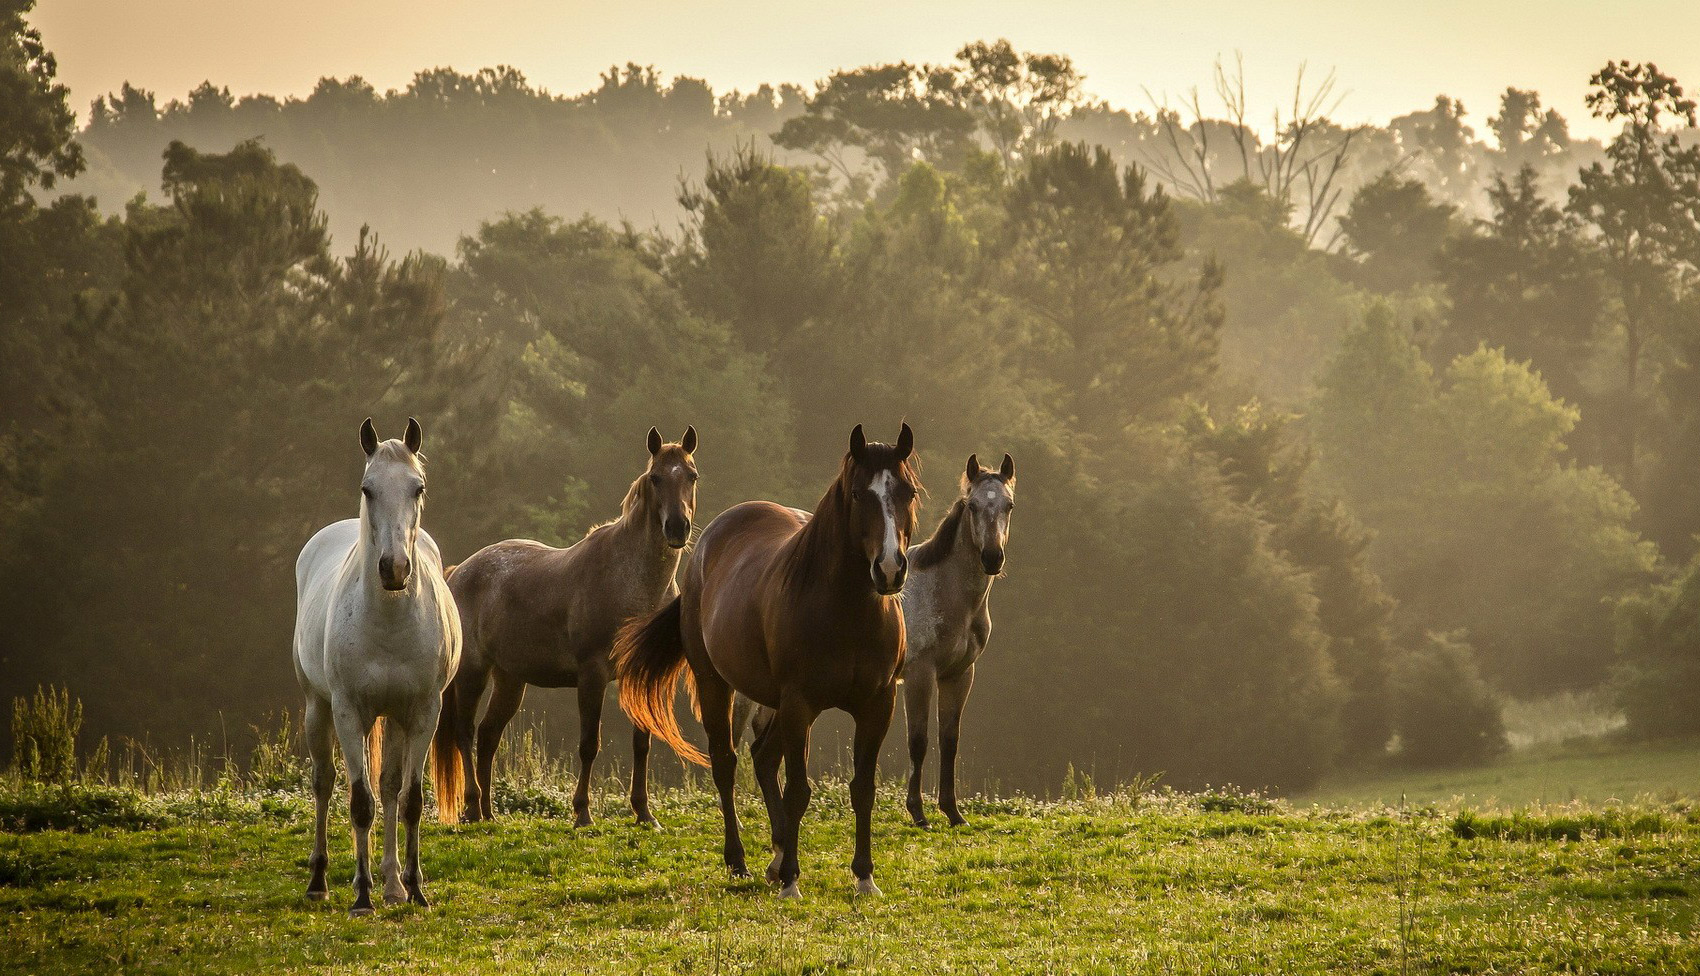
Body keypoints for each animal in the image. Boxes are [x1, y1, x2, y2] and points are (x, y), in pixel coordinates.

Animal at [292, 421, 462, 918]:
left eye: (417, 487)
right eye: (367, 489)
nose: (394, 568)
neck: (387, 621)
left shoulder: (423, 713)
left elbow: (408, 801)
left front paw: (414, 890)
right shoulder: (349, 712)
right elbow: (360, 803)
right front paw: (362, 897)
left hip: (395, 719)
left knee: (388, 787)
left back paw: (392, 885)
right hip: (318, 708)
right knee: (324, 783)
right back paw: (321, 881)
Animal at [431, 426, 697, 826]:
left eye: (691, 475)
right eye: (656, 478)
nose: (677, 528)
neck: (632, 582)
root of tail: (458, 572)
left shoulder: (637, 674)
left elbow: (642, 743)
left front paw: (644, 813)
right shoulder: (592, 675)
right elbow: (589, 745)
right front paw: (582, 813)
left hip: (511, 680)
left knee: (489, 736)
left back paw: (489, 812)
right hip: (473, 673)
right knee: (465, 734)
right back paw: (473, 806)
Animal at [618, 425, 924, 897]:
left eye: (907, 492)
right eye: (858, 494)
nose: (889, 569)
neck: (847, 612)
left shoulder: (878, 705)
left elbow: (863, 789)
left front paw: (864, 876)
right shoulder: (800, 705)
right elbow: (798, 790)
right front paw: (793, 880)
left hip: (777, 703)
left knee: (762, 758)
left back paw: (776, 856)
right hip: (717, 684)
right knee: (727, 763)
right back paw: (740, 859)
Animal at [897, 452, 1013, 826]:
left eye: (1008, 505)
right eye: (973, 506)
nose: (992, 557)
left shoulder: (959, 675)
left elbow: (949, 740)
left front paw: (952, 811)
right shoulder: (919, 675)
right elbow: (918, 740)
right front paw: (918, 812)